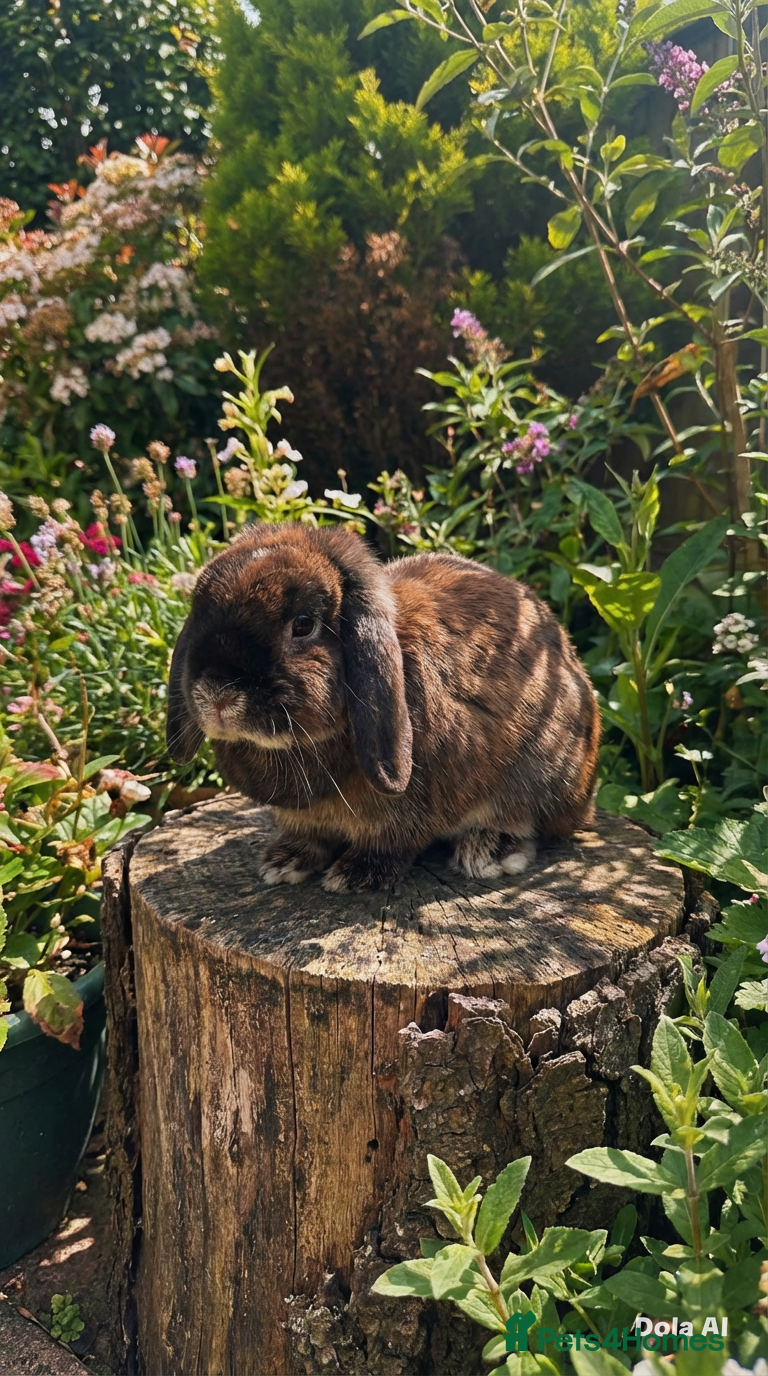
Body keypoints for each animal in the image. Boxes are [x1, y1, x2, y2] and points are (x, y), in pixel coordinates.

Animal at [166, 522, 600, 892]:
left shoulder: (410, 809)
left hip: (540, 776)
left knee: (531, 822)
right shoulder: (303, 817)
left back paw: (490, 851)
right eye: (199, 614)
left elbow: (392, 842)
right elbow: (308, 836)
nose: (217, 694)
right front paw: (285, 862)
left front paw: (355, 875)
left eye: (303, 625)